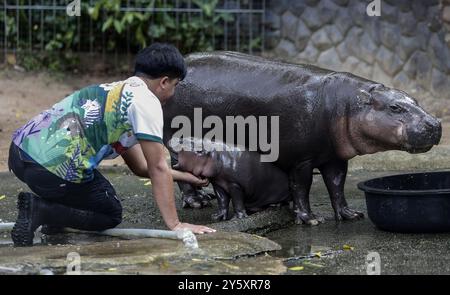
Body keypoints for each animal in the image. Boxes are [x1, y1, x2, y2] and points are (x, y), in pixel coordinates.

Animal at [163, 51, 442, 227]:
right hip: (175, 141)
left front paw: (350, 215)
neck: (347, 104)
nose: (435, 124)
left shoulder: (334, 158)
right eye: (395, 107)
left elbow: (337, 186)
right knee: (179, 172)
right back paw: (198, 201)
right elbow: (301, 188)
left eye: (414, 99)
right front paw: (310, 219)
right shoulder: (301, 160)